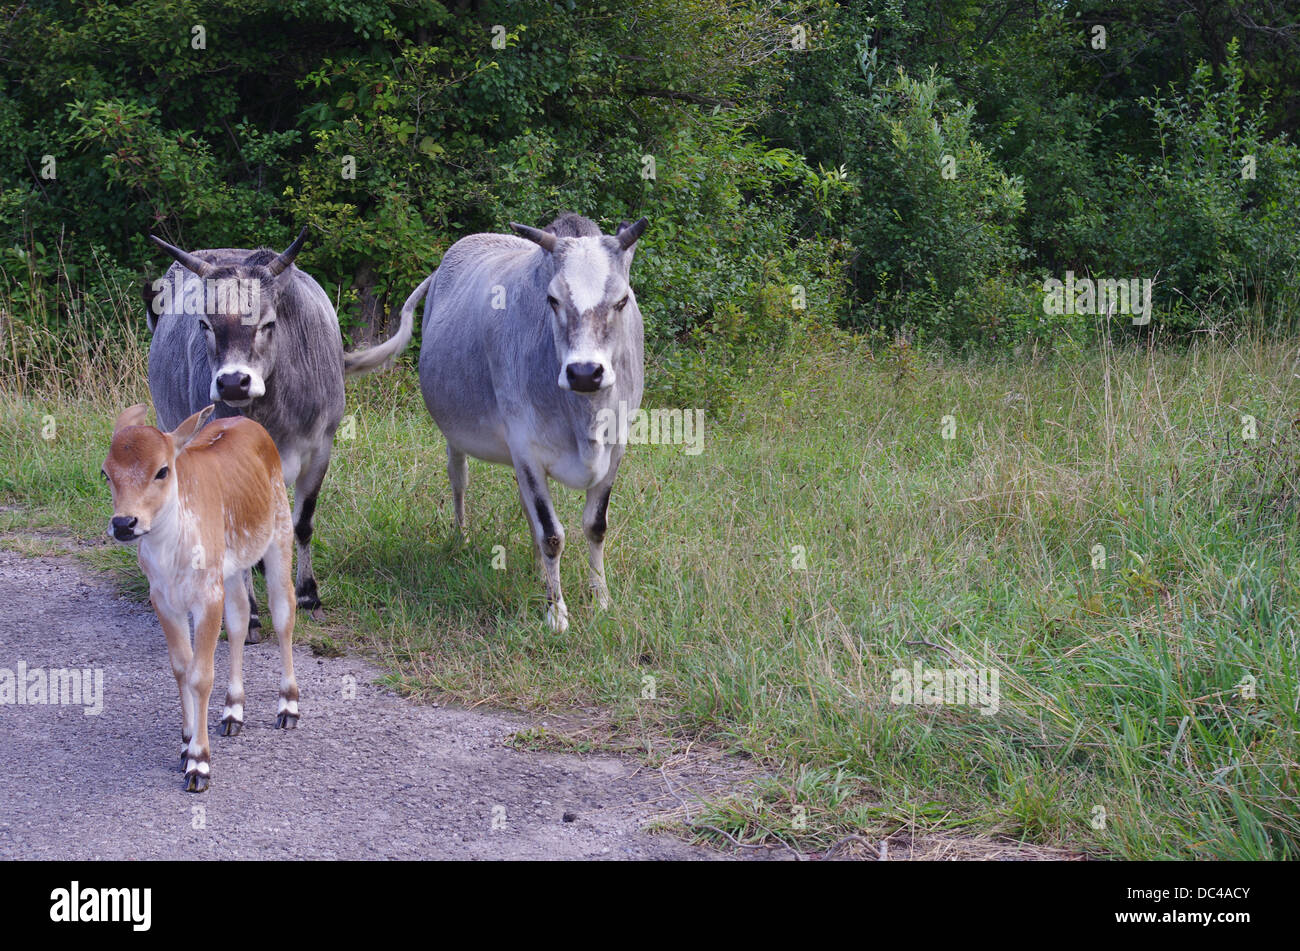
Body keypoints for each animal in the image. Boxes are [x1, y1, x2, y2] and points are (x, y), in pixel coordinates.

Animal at [102, 404, 298, 792]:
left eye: (162, 470)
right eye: (106, 473)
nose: (124, 523)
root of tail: (248, 422)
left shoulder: (207, 595)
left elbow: (200, 674)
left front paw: (199, 762)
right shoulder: (162, 598)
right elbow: (181, 666)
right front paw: (186, 742)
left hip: (279, 532)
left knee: (284, 611)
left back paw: (287, 706)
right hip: (232, 565)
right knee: (239, 619)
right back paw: (232, 712)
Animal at [143, 228, 417, 635]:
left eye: (268, 323)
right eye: (205, 325)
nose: (233, 383)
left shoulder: (319, 451)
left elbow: (302, 524)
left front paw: (307, 593)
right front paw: (248, 614)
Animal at [411, 212, 648, 632]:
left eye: (622, 300)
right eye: (552, 299)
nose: (584, 372)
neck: (584, 418)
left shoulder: (615, 450)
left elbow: (595, 525)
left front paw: (600, 599)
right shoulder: (527, 449)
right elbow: (552, 534)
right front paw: (557, 613)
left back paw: (540, 573)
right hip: (456, 436)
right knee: (459, 480)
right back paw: (461, 538)